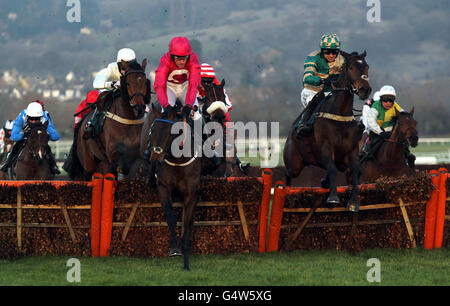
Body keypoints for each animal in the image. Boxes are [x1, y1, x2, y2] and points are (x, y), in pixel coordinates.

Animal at [146, 105, 200, 270]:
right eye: (152, 130)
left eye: (172, 133)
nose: (155, 158)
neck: (178, 161)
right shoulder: (163, 187)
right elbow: (171, 217)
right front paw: (175, 249)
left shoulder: (191, 194)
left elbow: (187, 221)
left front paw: (186, 261)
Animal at [284, 50, 372, 213]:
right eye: (351, 67)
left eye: (367, 67)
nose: (365, 90)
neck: (339, 113)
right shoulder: (325, 146)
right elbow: (331, 168)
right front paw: (333, 197)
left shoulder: (352, 150)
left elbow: (355, 170)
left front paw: (353, 202)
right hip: (294, 163)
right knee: (287, 173)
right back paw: (285, 190)